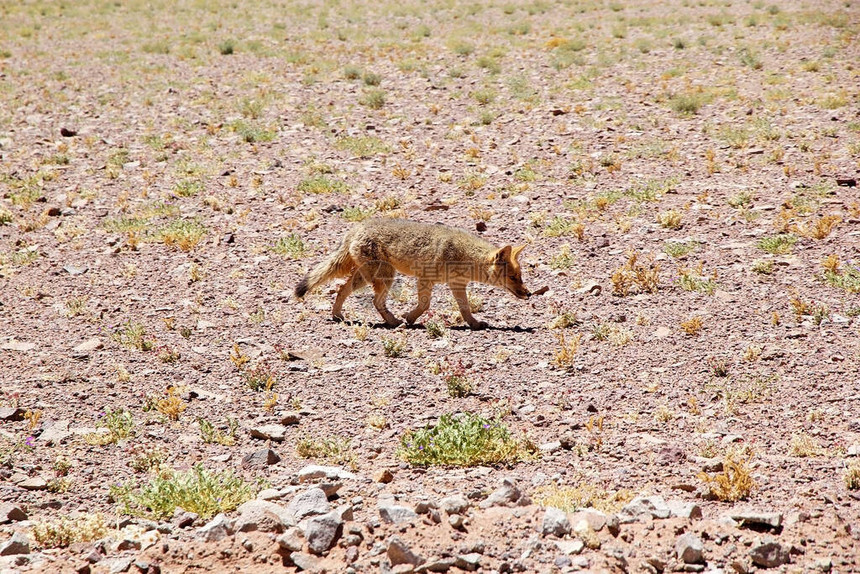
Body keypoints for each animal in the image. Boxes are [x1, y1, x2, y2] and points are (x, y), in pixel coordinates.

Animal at [296, 218, 532, 330]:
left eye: (520, 277)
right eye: (513, 278)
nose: (528, 294)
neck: (464, 254)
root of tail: (358, 226)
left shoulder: (457, 284)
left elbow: (464, 308)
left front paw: (474, 324)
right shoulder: (425, 279)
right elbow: (425, 305)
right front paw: (409, 318)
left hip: (371, 276)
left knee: (344, 289)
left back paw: (340, 316)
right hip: (383, 277)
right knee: (370, 299)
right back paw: (392, 321)